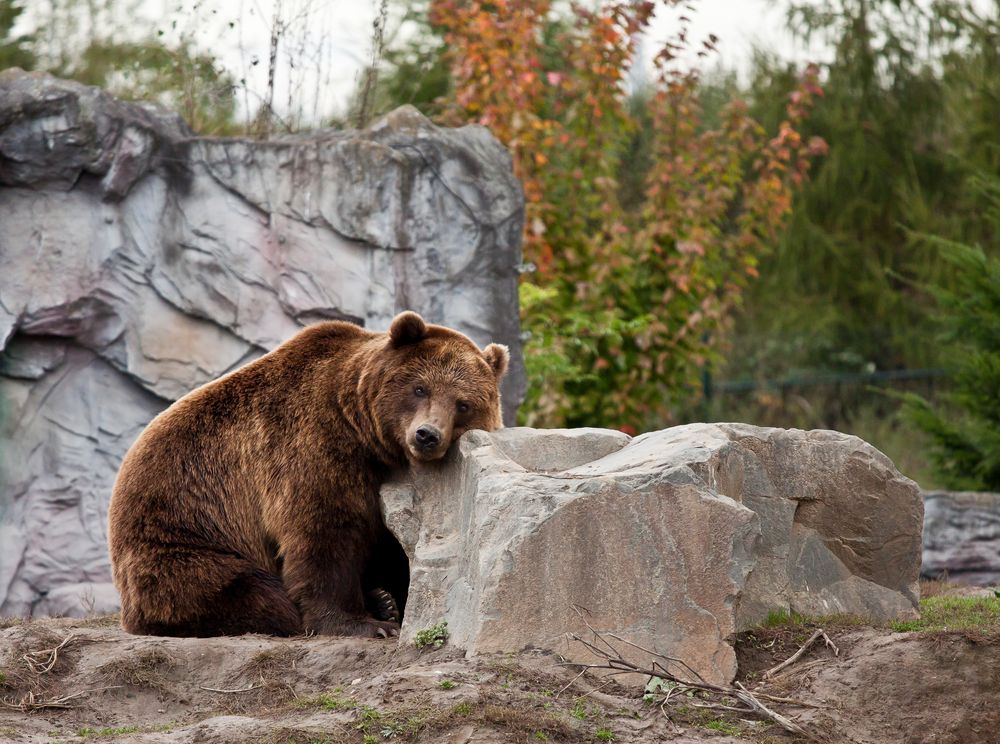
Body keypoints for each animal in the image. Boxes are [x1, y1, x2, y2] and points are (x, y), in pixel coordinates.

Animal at [111, 310, 508, 636]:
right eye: (420, 388)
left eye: (463, 404)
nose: (427, 435)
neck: (363, 429)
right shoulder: (312, 443)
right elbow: (324, 528)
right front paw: (363, 623)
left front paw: (390, 601)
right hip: (184, 534)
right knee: (244, 590)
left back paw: (381, 599)